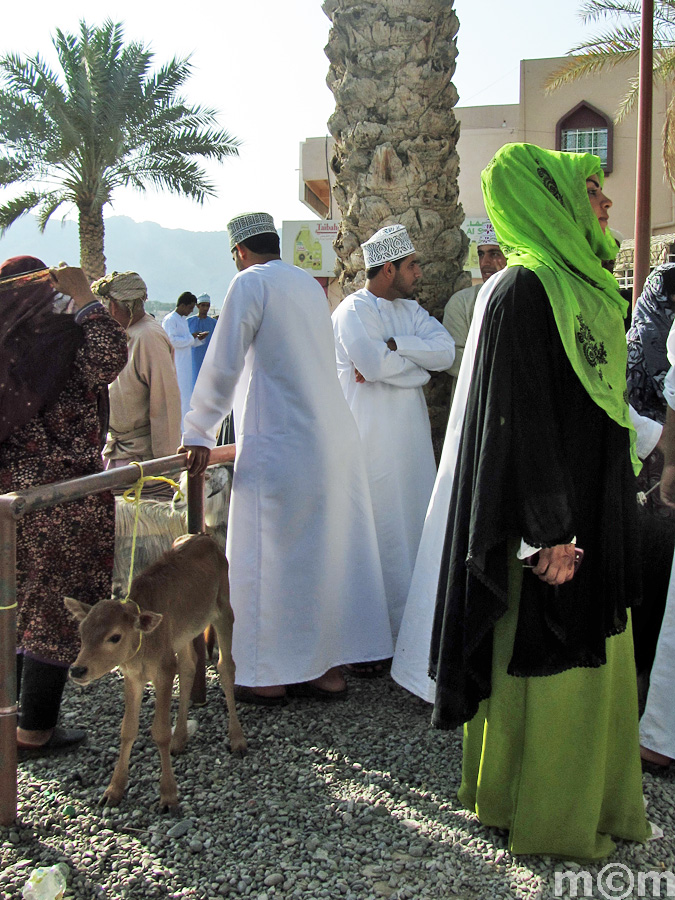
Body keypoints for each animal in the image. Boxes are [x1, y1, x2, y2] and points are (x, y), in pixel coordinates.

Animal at [64, 532, 246, 812]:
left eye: (114, 636)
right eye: (81, 631)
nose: (77, 669)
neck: (142, 648)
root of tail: (203, 536)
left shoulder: (163, 669)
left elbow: (159, 732)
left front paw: (169, 796)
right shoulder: (132, 676)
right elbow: (127, 729)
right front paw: (113, 791)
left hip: (224, 610)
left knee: (226, 668)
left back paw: (237, 739)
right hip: (184, 634)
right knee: (189, 667)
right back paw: (179, 740)